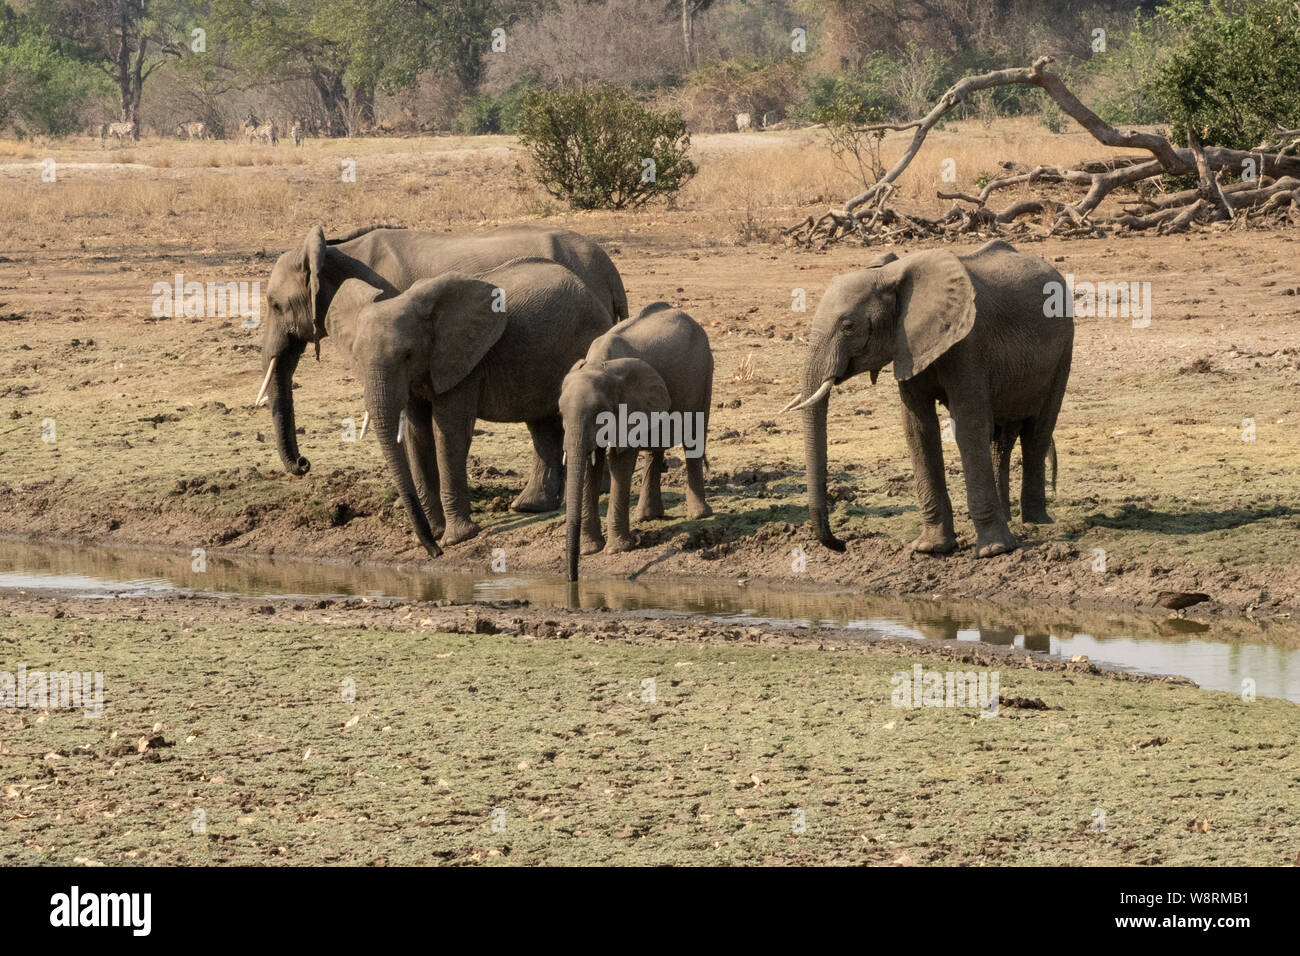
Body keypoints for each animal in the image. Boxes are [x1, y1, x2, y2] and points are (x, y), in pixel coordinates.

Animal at [338, 257, 616, 556]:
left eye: (408, 355)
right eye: (356, 358)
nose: (435, 553)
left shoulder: (463, 362)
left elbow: (450, 431)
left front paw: (456, 538)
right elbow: (417, 434)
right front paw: (434, 533)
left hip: (585, 340)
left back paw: (597, 490)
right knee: (540, 424)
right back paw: (529, 506)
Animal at [561, 303, 717, 580]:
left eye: (599, 414)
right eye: (560, 414)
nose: (573, 578)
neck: (598, 365)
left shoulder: (628, 406)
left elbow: (619, 461)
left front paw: (617, 550)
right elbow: (591, 464)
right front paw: (591, 550)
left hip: (703, 373)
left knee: (693, 439)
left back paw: (699, 514)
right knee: (655, 447)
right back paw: (646, 517)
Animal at [780, 239, 1076, 561]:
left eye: (848, 326)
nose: (841, 543)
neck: (890, 275)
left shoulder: (968, 343)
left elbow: (969, 427)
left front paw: (993, 551)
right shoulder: (907, 345)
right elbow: (918, 429)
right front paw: (931, 549)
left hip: (1065, 348)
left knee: (1038, 432)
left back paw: (1036, 522)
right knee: (1002, 439)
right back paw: (1011, 518)